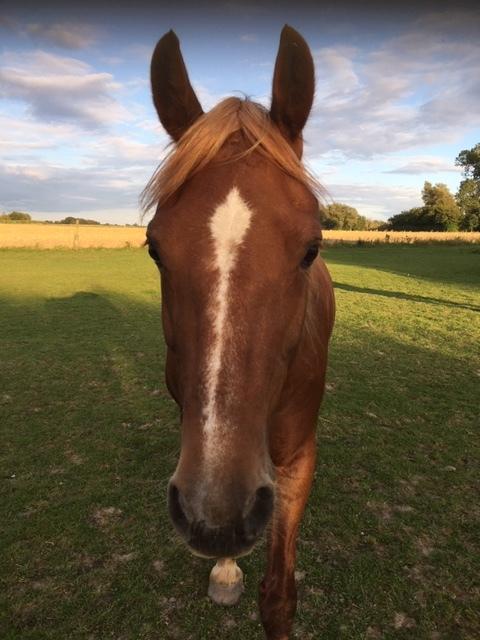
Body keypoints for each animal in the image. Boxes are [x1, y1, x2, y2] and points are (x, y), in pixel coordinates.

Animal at [143, 25, 334, 640]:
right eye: (155, 248)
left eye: (311, 248)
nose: (215, 517)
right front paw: (225, 568)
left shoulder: (296, 460)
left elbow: (279, 597)